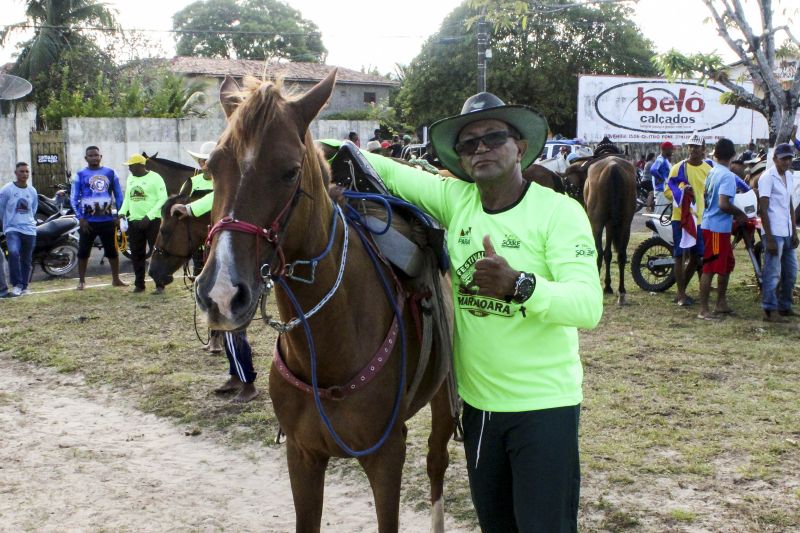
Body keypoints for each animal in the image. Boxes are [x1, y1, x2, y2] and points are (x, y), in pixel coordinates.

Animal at [194, 69, 456, 528]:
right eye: (211, 169)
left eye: (290, 171)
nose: (222, 294)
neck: (327, 348)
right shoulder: (302, 455)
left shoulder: (386, 457)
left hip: (444, 398)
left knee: (436, 463)